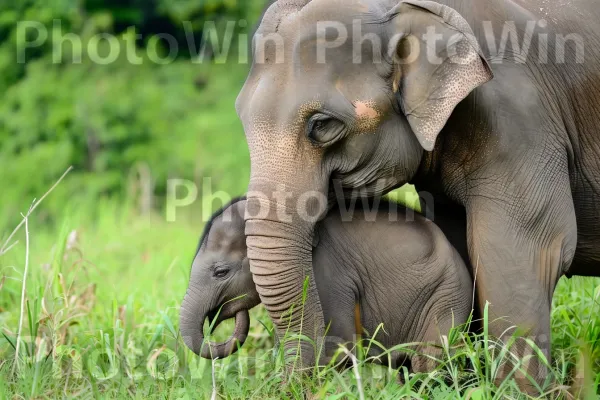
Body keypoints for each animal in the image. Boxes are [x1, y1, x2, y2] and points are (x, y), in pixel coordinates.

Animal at [180, 198, 472, 372]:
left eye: (221, 272)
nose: (225, 310)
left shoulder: (326, 273)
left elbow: (333, 347)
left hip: (446, 299)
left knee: (430, 364)